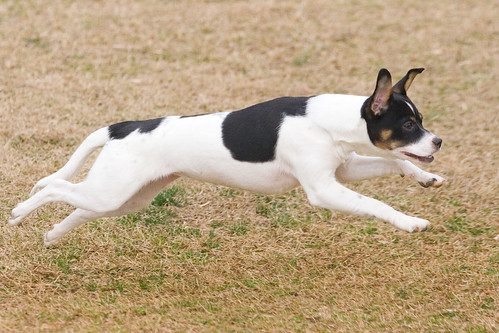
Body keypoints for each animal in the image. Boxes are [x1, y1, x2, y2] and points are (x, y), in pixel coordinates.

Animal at [7, 67, 446, 244]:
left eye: (420, 120)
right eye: (409, 124)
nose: (438, 141)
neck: (326, 120)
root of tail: (123, 127)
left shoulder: (345, 169)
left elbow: (395, 162)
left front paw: (427, 179)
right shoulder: (324, 190)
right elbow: (376, 203)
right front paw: (409, 222)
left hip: (123, 197)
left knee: (78, 207)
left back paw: (52, 235)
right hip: (112, 190)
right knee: (54, 188)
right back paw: (19, 213)